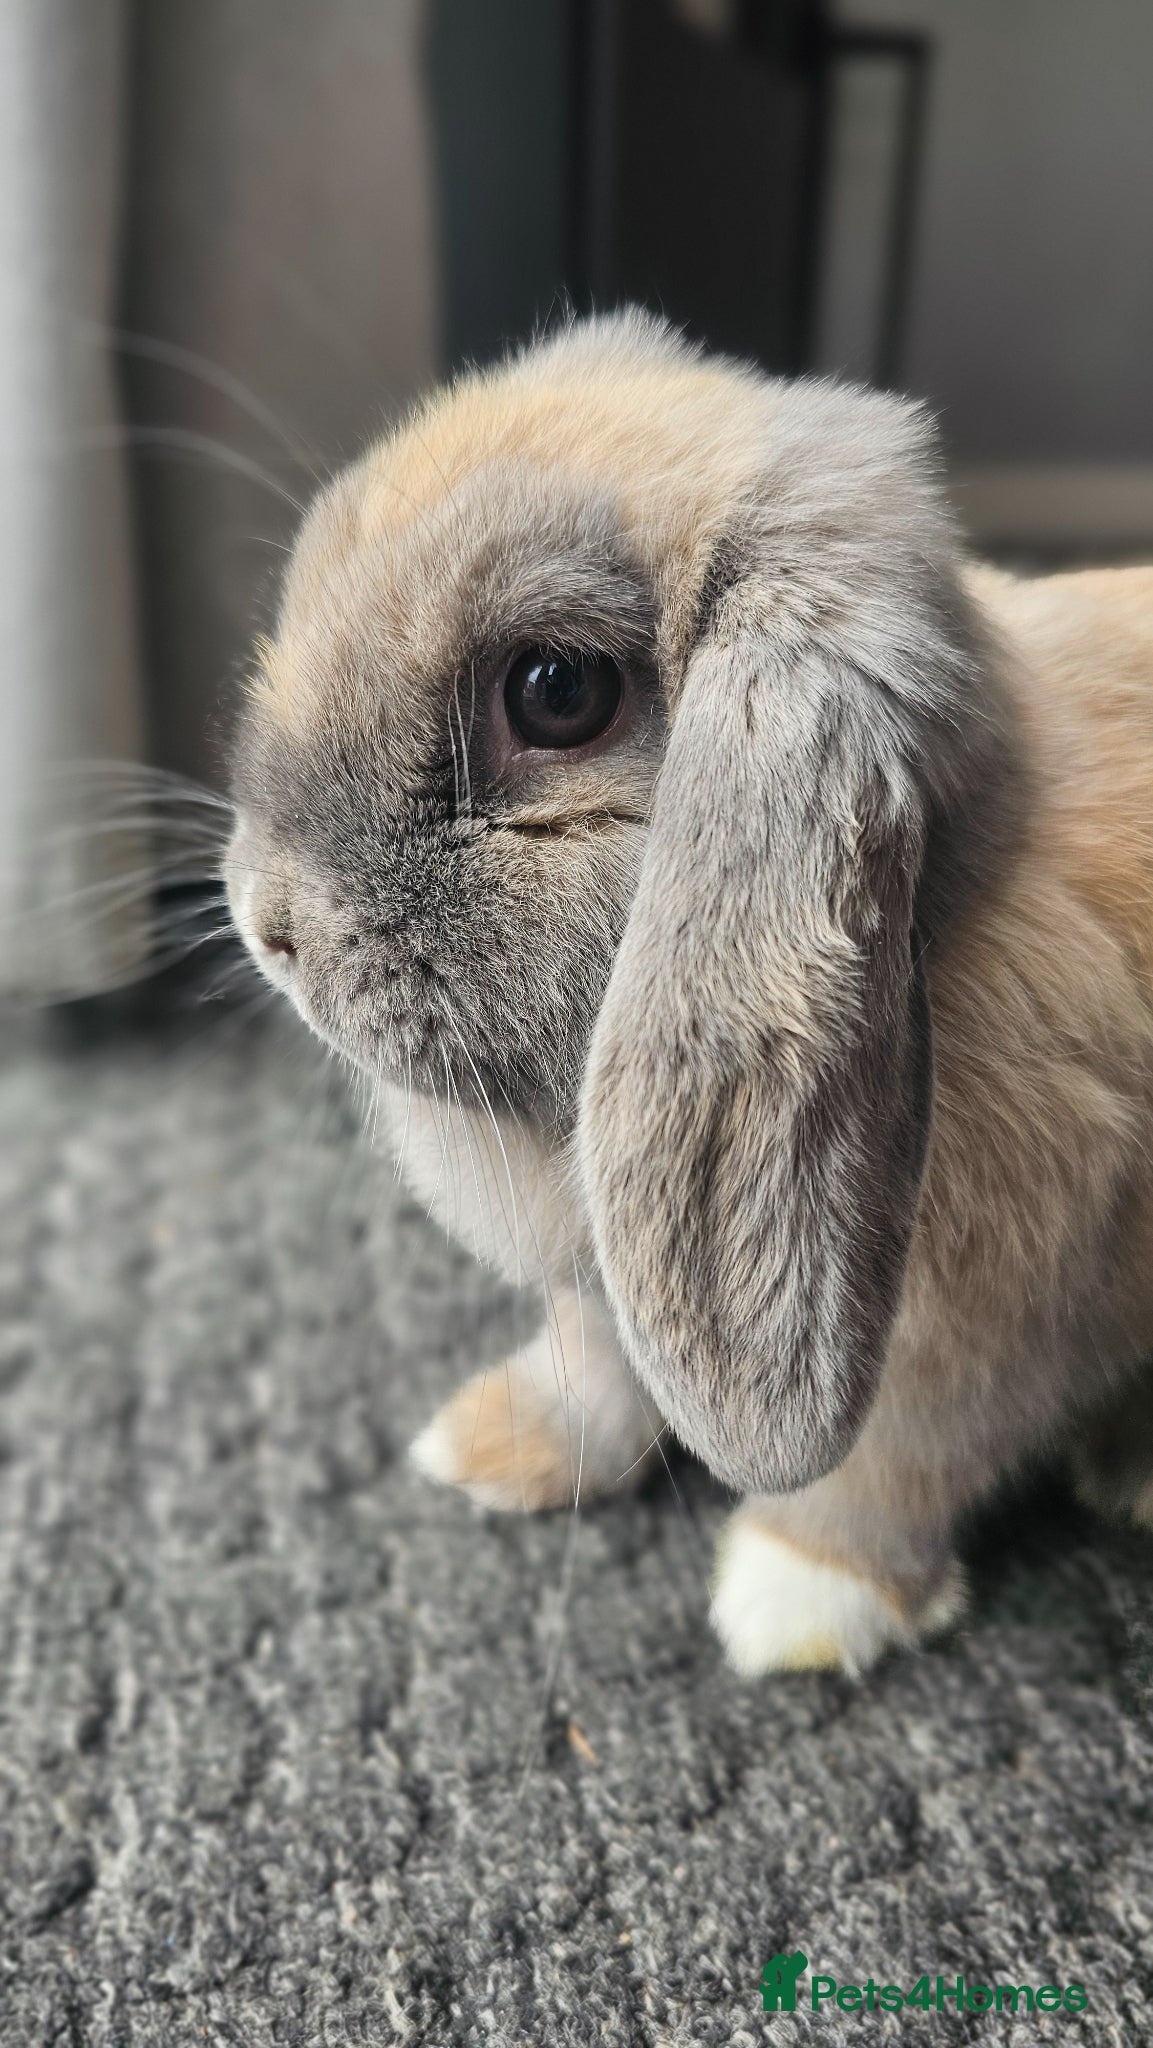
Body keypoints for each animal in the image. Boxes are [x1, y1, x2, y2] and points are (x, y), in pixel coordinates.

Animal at [225, 308, 1153, 1676]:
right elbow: (598, 1368)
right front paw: (497, 1444)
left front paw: (792, 1602)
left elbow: (899, 1466)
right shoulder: (609, 1285)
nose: (267, 920)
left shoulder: (982, 1339)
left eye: (557, 691)